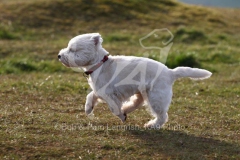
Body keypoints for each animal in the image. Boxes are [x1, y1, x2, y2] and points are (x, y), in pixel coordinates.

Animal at [58, 32, 212, 129]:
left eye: (72, 49)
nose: (59, 55)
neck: (99, 64)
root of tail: (170, 72)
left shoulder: (109, 93)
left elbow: (113, 108)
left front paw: (121, 116)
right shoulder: (101, 91)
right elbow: (90, 95)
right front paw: (88, 109)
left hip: (156, 97)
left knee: (162, 115)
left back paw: (152, 125)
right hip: (142, 92)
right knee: (138, 102)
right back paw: (127, 109)